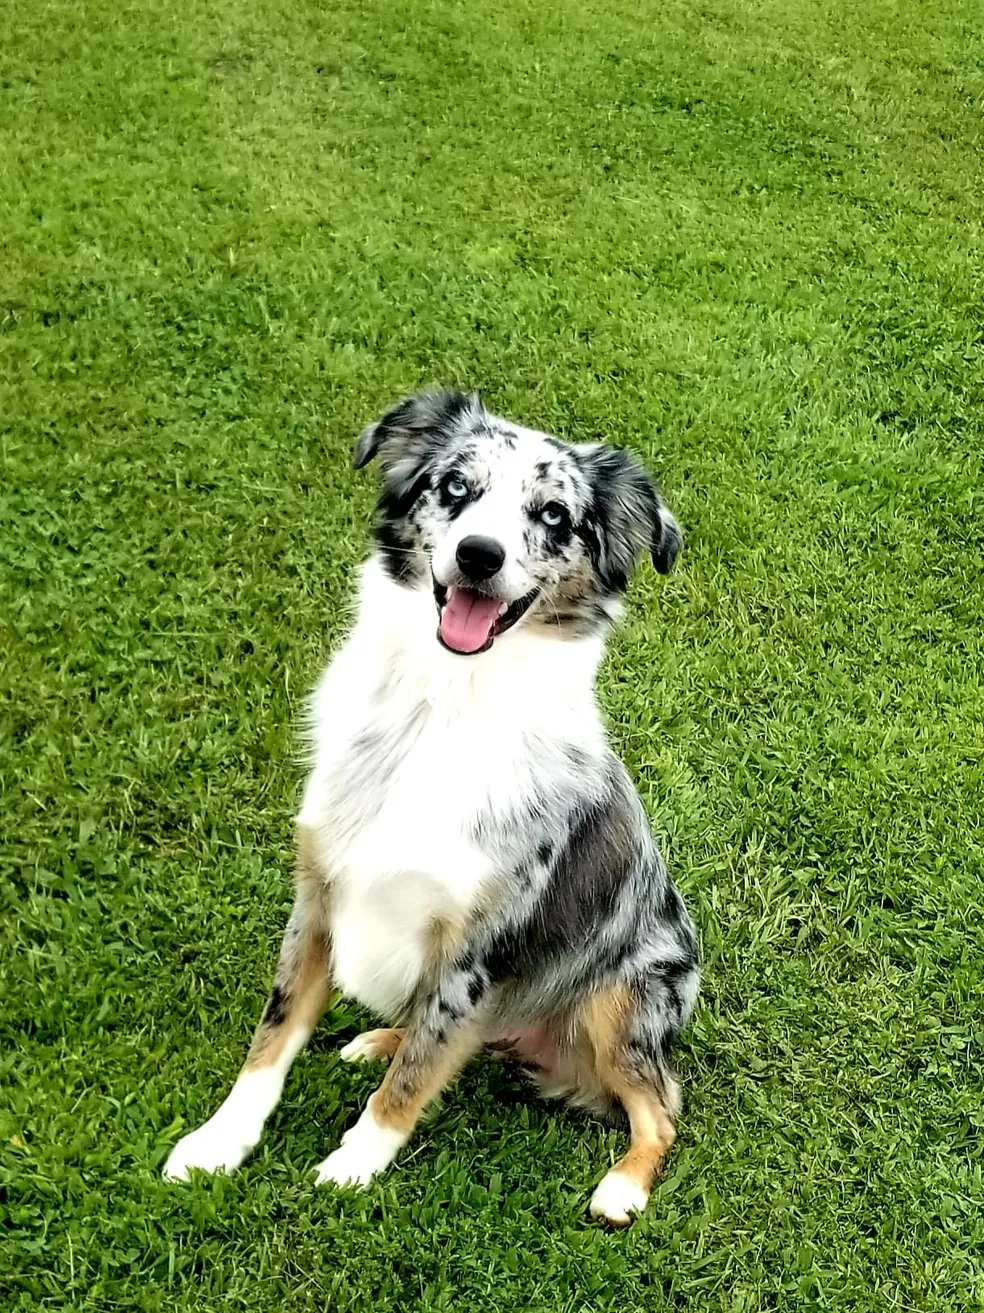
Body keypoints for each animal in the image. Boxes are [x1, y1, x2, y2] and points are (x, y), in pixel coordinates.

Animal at [162, 391, 698, 1228]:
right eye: (454, 486)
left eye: (553, 514)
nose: (479, 554)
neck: (441, 704)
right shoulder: (318, 894)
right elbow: (272, 1037)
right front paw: (218, 1143)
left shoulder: (477, 949)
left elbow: (412, 1080)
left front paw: (351, 1167)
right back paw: (376, 1038)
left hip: (625, 1001)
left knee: (661, 1107)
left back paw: (623, 1185)